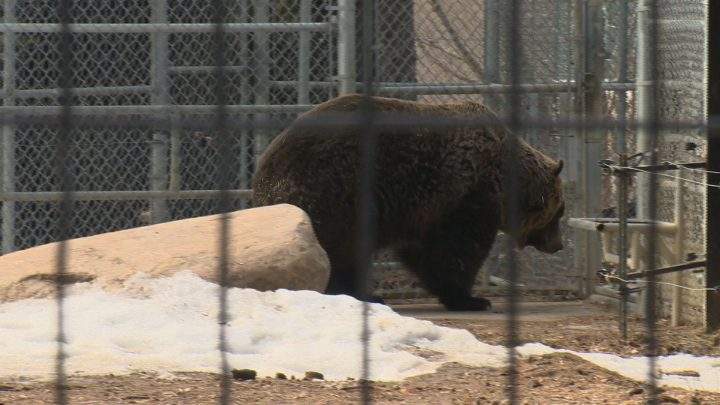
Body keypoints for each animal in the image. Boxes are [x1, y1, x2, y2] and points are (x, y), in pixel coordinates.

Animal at [251, 94, 565, 311]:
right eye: (560, 213)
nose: (558, 245)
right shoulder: (465, 199)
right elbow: (458, 251)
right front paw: (473, 298)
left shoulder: (424, 211)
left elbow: (424, 255)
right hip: (335, 194)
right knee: (342, 252)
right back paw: (365, 294)